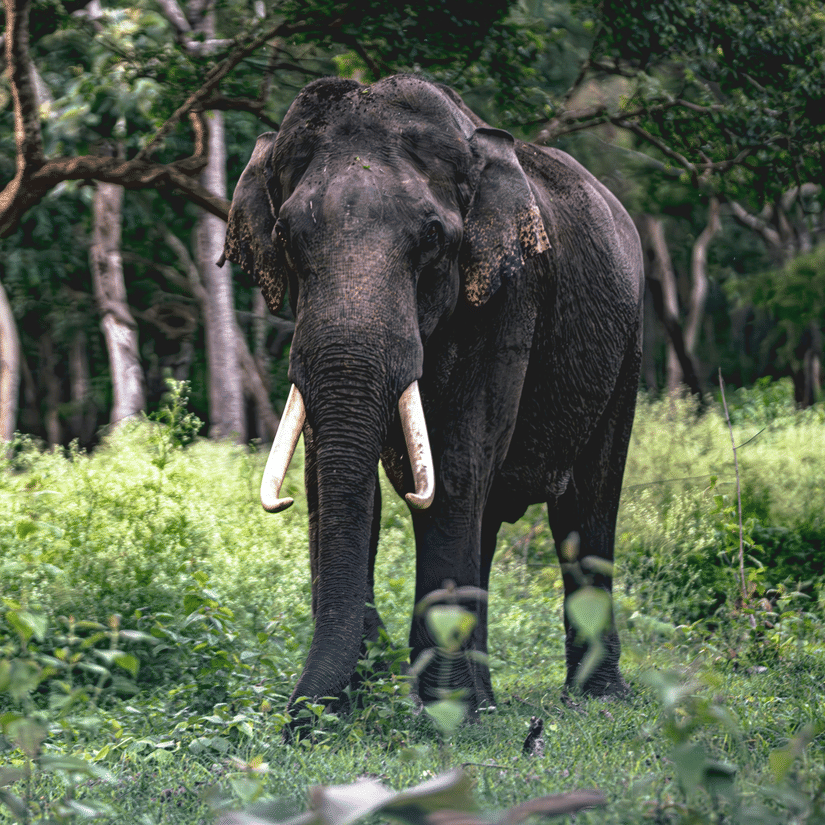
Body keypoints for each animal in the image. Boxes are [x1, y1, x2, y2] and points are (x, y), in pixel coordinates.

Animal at [223, 74, 643, 717]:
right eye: (285, 238)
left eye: (432, 238)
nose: (296, 722)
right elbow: (332, 475)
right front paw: (363, 701)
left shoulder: (511, 291)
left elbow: (460, 461)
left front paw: (440, 712)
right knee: (495, 521)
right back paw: (489, 701)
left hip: (629, 341)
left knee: (587, 505)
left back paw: (595, 700)